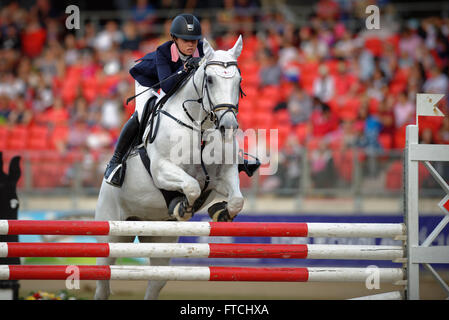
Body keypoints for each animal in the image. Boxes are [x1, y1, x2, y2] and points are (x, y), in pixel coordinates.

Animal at [92, 36, 243, 298]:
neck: (200, 125)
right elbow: (191, 187)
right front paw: (182, 206)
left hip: (161, 239)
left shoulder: (222, 174)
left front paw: (221, 212)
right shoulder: (162, 170)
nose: (229, 127)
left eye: (239, 81)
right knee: (103, 282)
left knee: (156, 281)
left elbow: (236, 200)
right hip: (111, 232)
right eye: (210, 80)